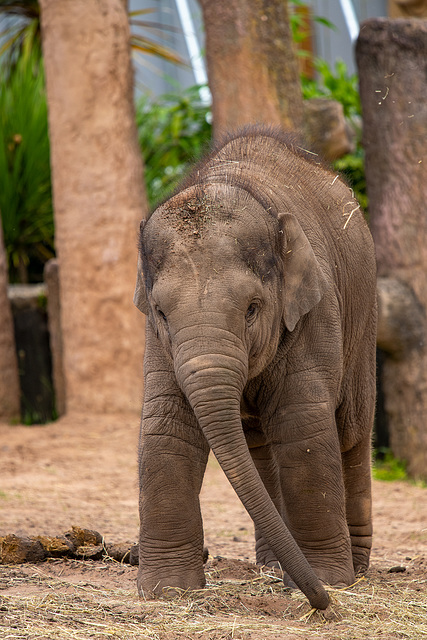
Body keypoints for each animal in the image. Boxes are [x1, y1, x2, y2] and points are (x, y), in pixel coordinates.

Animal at [135, 125, 378, 608]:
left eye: (252, 308)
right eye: (162, 313)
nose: (324, 606)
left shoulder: (315, 311)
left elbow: (302, 426)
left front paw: (329, 582)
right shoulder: (158, 342)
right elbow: (167, 424)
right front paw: (167, 590)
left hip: (365, 323)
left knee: (352, 432)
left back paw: (355, 569)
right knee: (260, 444)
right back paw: (270, 565)